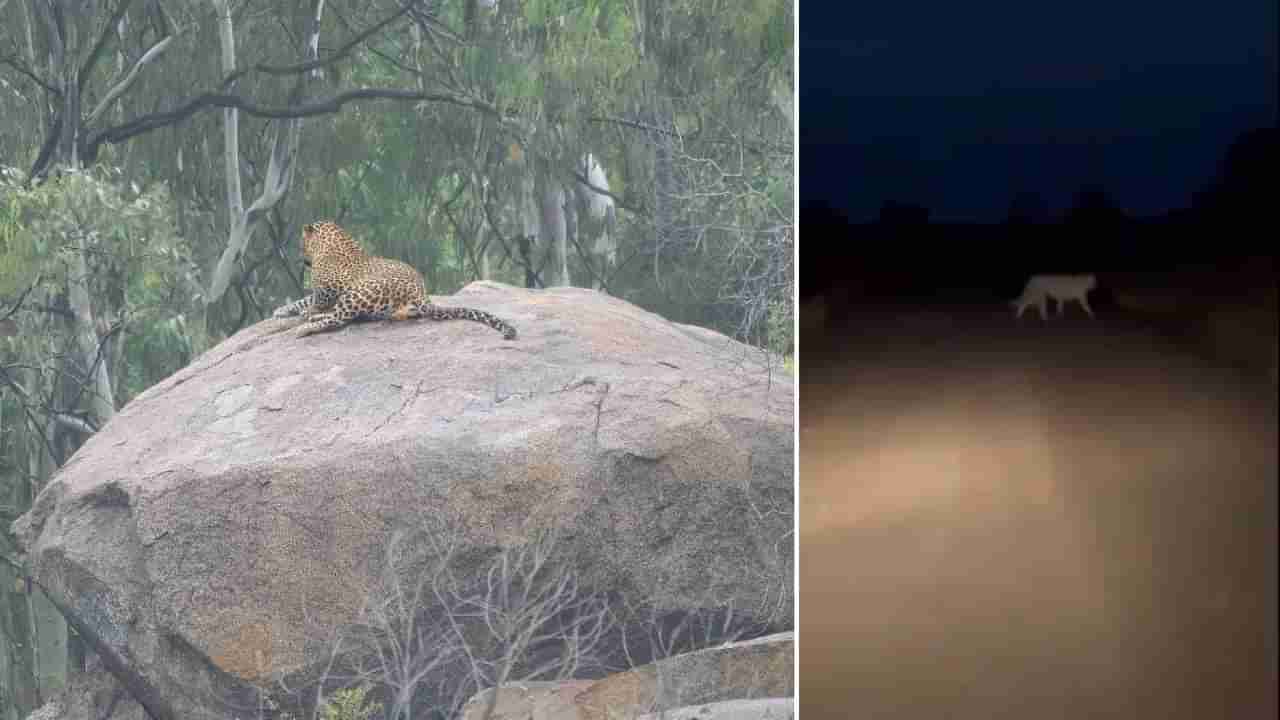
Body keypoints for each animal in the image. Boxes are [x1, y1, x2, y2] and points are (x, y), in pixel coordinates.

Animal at [272, 219, 517, 338]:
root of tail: (422, 296)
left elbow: (313, 300)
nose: (302, 260)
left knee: (339, 318)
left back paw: (307, 327)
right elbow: (303, 300)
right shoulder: (326, 291)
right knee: (347, 315)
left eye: (301, 242)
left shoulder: (330, 288)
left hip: (359, 292)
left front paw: (305, 312)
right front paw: (281, 310)